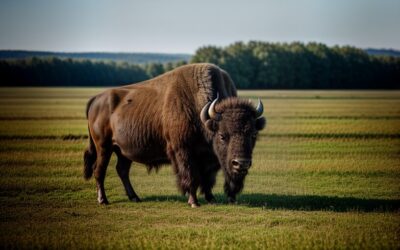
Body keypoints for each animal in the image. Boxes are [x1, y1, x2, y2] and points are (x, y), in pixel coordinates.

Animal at [83, 63, 266, 207]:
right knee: (99, 170)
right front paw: (193, 202)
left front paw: (211, 199)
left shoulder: (210, 158)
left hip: (122, 151)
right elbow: (191, 176)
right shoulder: (183, 151)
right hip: (104, 147)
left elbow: (208, 179)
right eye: (222, 135)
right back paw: (103, 200)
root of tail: (95, 99)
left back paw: (135, 198)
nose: (241, 164)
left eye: (253, 134)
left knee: (122, 170)